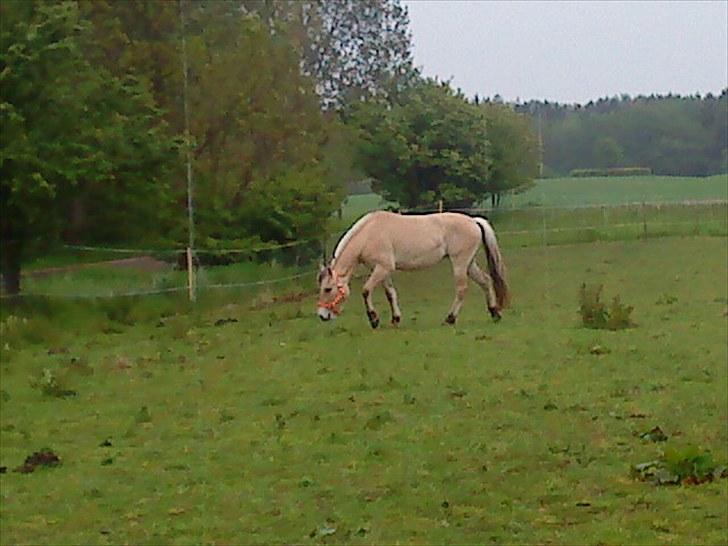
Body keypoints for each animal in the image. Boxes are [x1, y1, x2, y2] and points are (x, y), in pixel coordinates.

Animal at [316, 210, 510, 326]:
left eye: (328, 289)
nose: (322, 315)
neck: (369, 234)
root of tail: (474, 221)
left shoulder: (382, 268)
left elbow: (366, 290)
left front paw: (374, 319)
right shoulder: (382, 270)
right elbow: (390, 294)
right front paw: (395, 319)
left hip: (460, 264)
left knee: (462, 289)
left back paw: (450, 319)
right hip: (469, 264)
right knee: (486, 281)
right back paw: (494, 313)